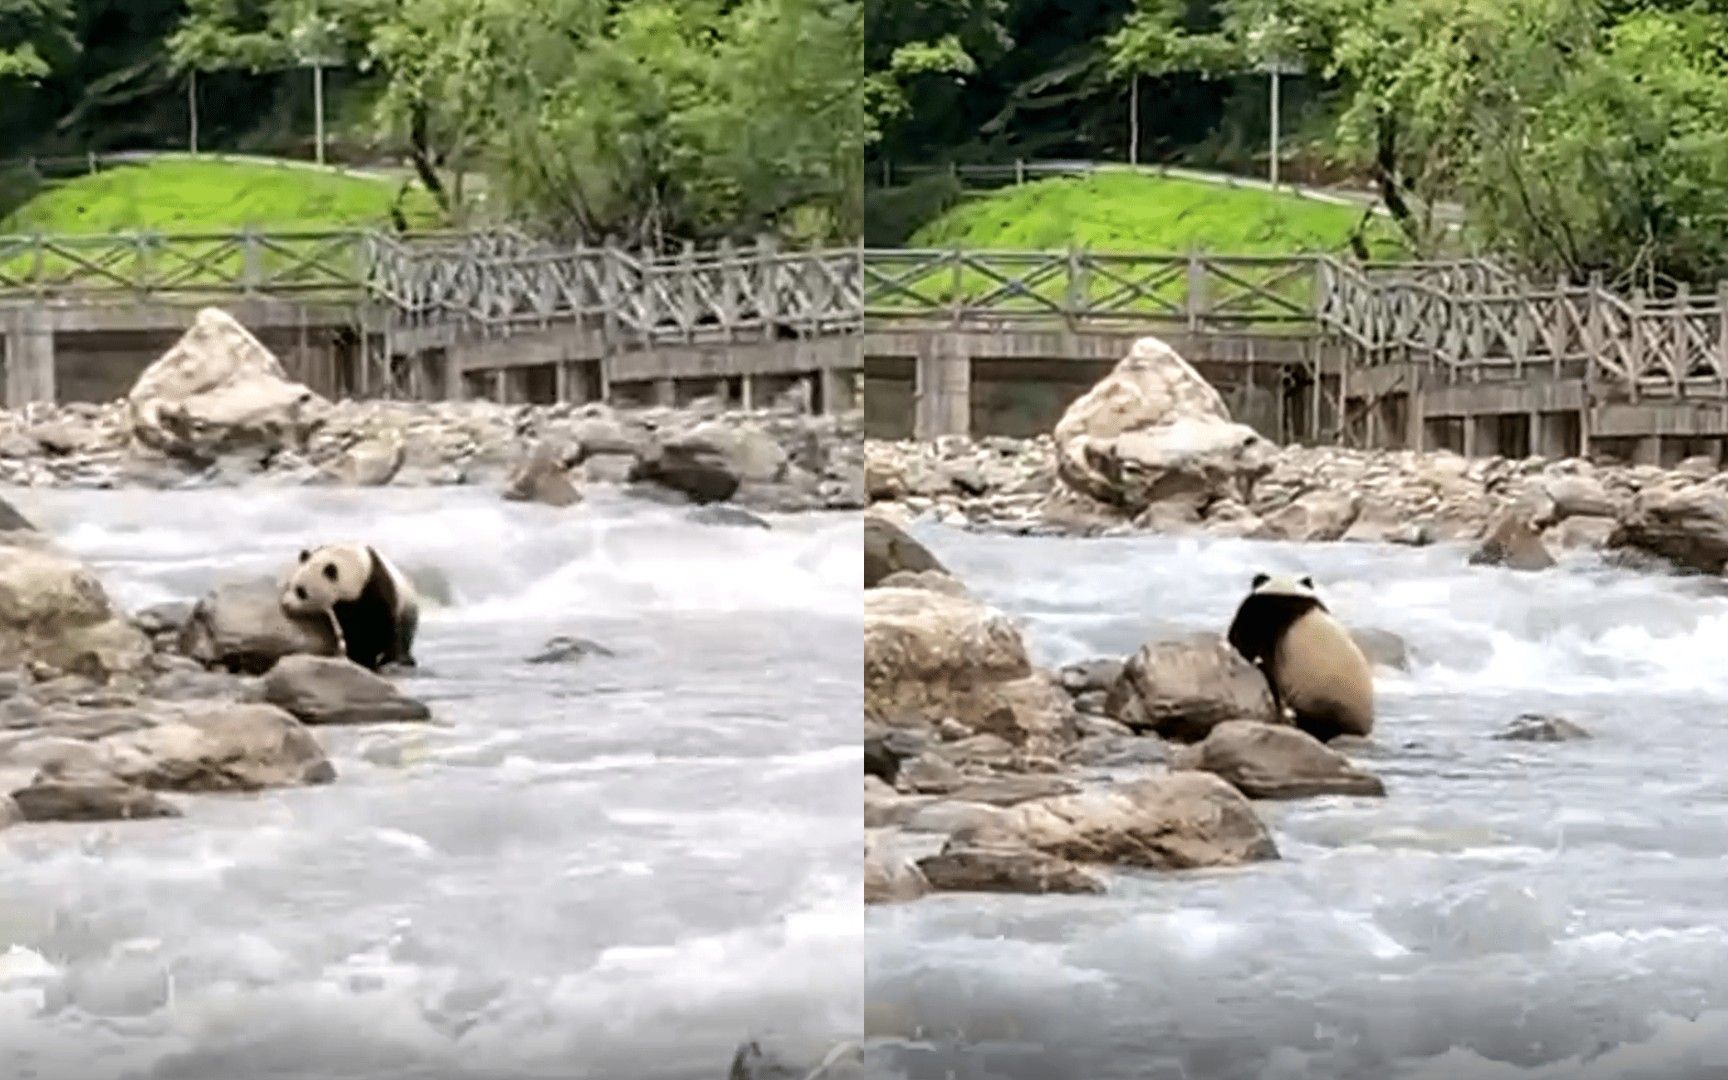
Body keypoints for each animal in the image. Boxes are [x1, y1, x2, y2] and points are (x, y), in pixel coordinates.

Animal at [283, 542, 421, 670]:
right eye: (289, 585)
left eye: (301, 591)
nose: (285, 604)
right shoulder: (344, 604)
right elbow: (352, 628)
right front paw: (359, 656)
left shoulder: (375, 586)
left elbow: (382, 623)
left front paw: (376, 658)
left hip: (407, 607)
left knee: (404, 634)